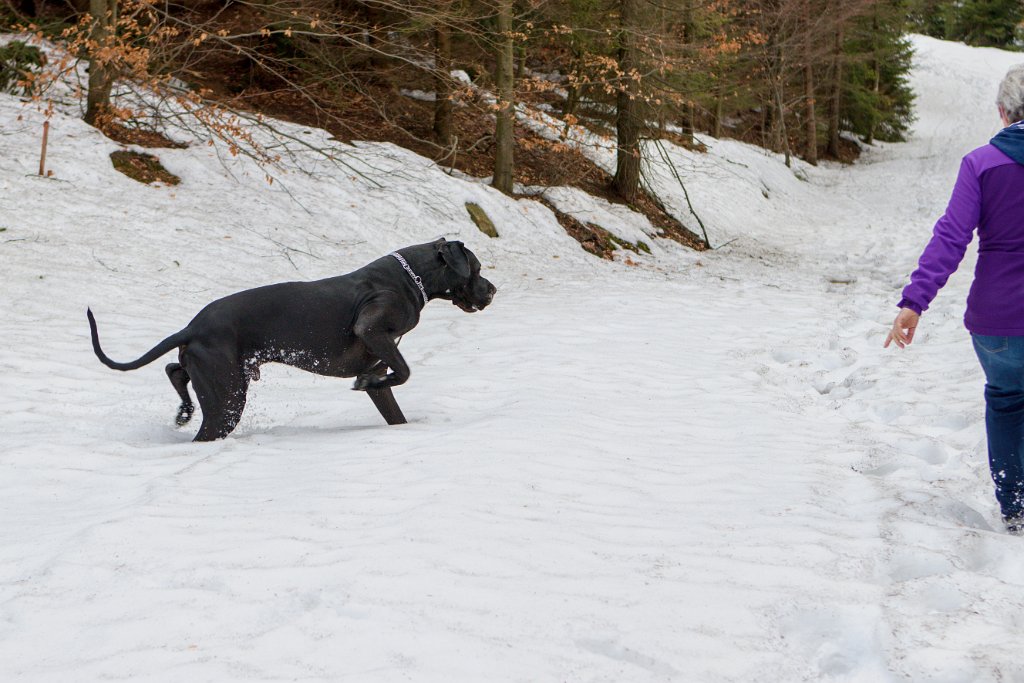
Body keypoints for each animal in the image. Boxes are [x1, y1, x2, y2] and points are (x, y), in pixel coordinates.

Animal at [90, 239, 497, 444]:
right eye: (477, 269)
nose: (493, 290)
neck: (411, 278)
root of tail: (191, 327)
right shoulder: (372, 331)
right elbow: (404, 371)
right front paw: (368, 381)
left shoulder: (380, 357)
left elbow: (392, 401)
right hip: (227, 396)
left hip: (208, 371)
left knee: (174, 369)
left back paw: (183, 410)